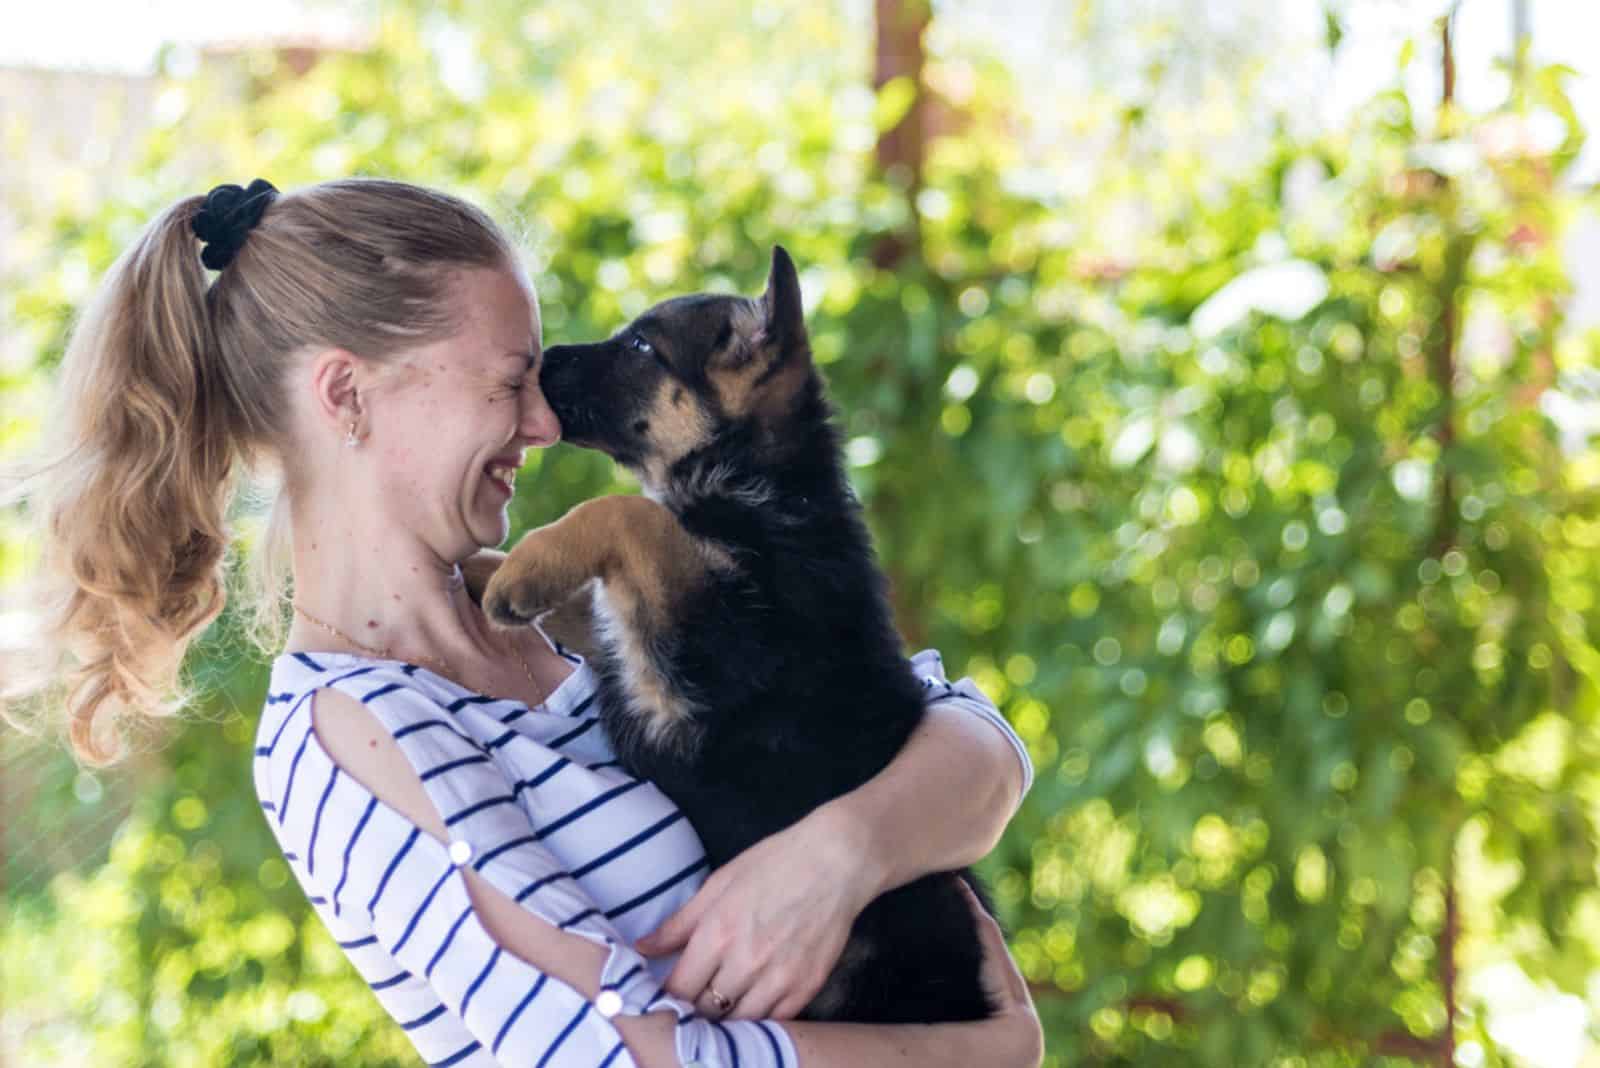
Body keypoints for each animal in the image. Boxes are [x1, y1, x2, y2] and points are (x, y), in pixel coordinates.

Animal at [480, 246, 992, 1023]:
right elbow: (607, 584)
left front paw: (524, 567)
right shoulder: (638, 646)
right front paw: (484, 568)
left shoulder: (700, 663)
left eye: (641, 347)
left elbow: (630, 514)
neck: (767, 487)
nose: (537, 363)